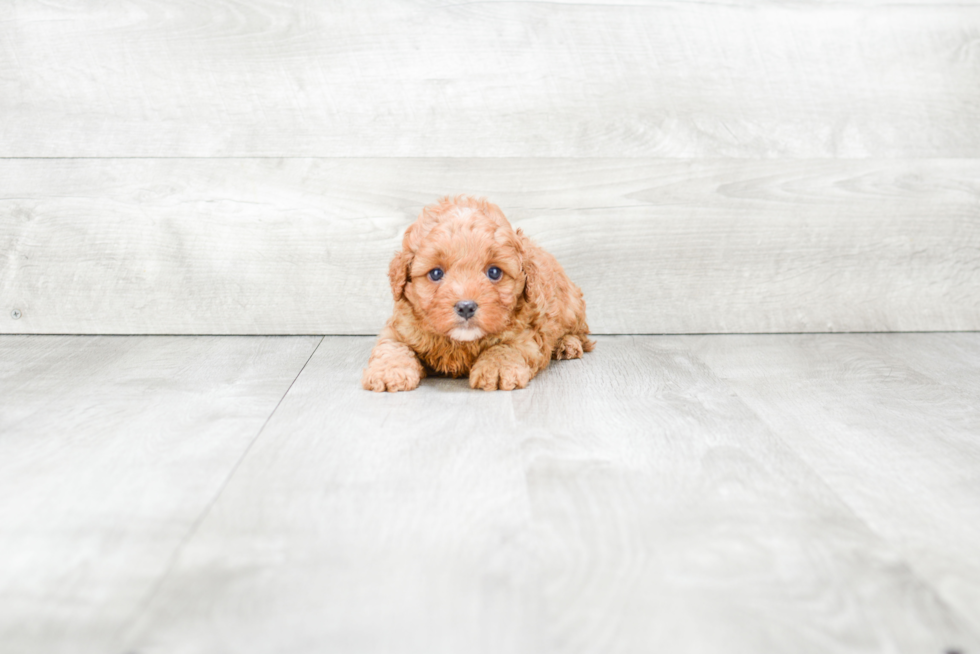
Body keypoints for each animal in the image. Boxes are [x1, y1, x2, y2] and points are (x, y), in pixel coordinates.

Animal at [360, 196, 588, 394]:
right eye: (436, 273)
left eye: (494, 272)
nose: (466, 307)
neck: (460, 342)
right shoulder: (399, 329)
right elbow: (392, 347)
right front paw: (389, 371)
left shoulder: (528, 337)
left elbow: (506, 347)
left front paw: (497, 369)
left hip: (572, 306)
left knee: (580, 333)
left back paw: (567, 345)